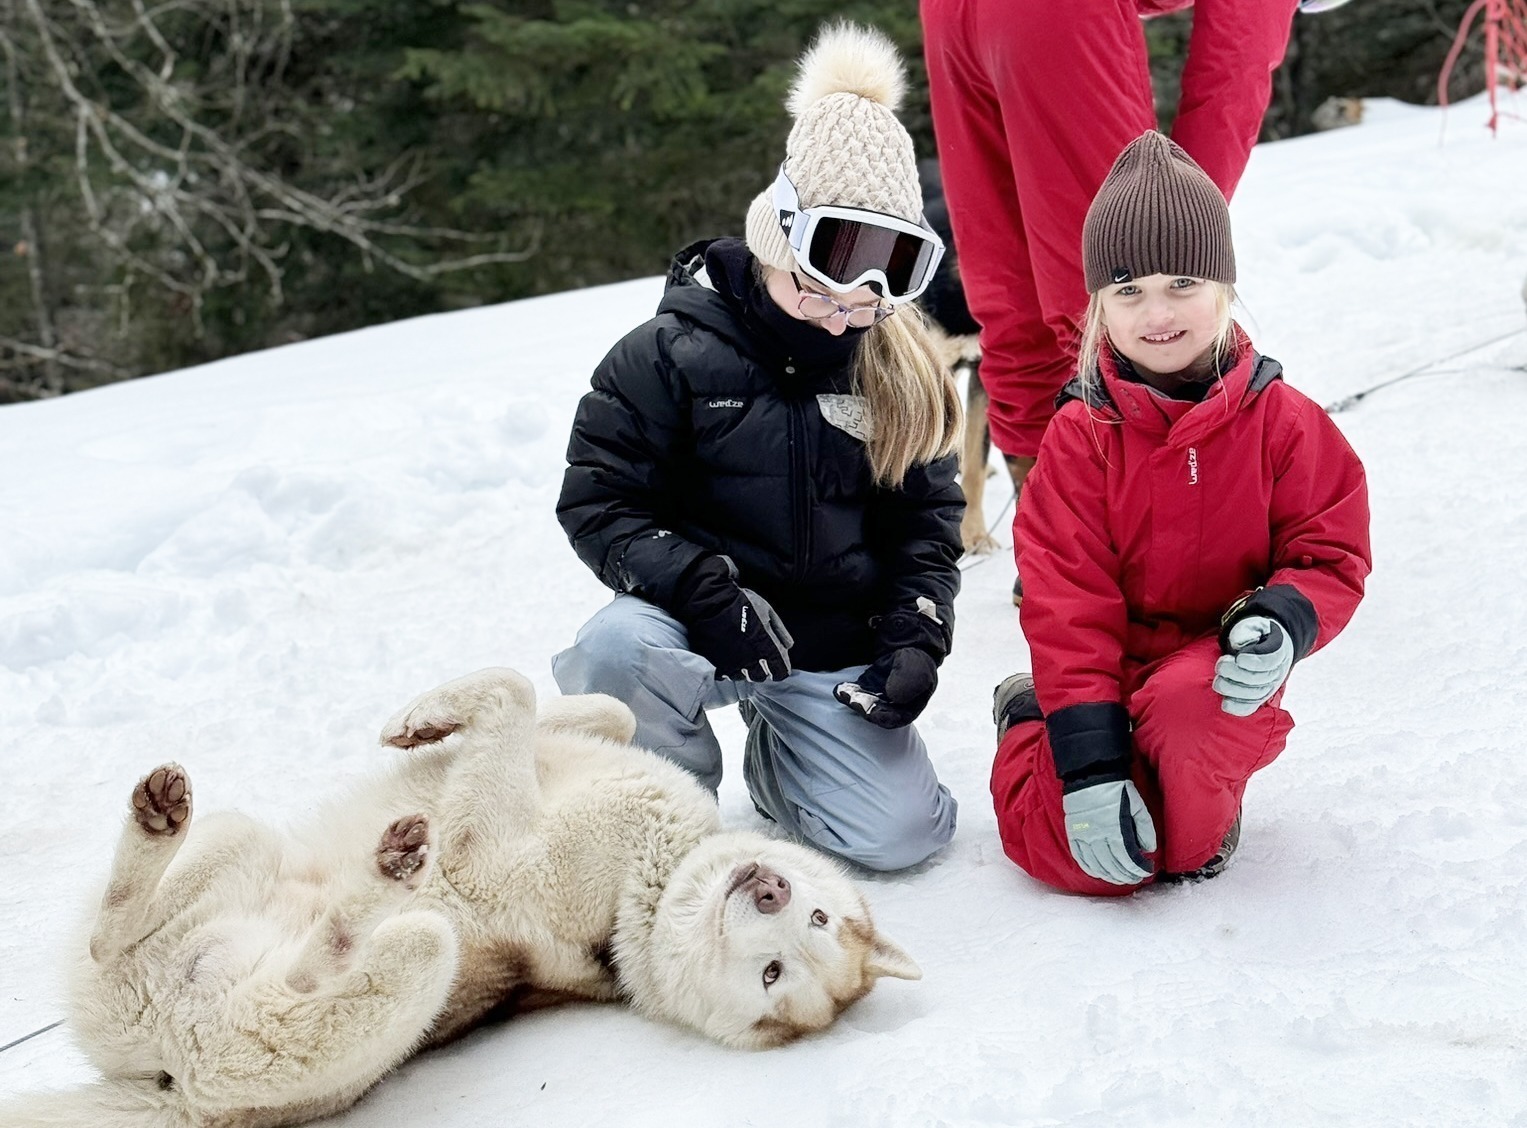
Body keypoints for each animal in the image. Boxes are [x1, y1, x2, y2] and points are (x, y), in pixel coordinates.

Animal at [2, 671, 916, 1128]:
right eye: (815, 917)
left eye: (775, 973)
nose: (768, 885)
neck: (654, 891)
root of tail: (160, 1079)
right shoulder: (576, 748)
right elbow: (591, 708)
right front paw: (426, 721)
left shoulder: (486, 852)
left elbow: (512, 697)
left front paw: (436, 725)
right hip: (240, 843)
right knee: (114, 934)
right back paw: (160, 821)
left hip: (402, 965)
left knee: (330, 963)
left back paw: (381, 879)